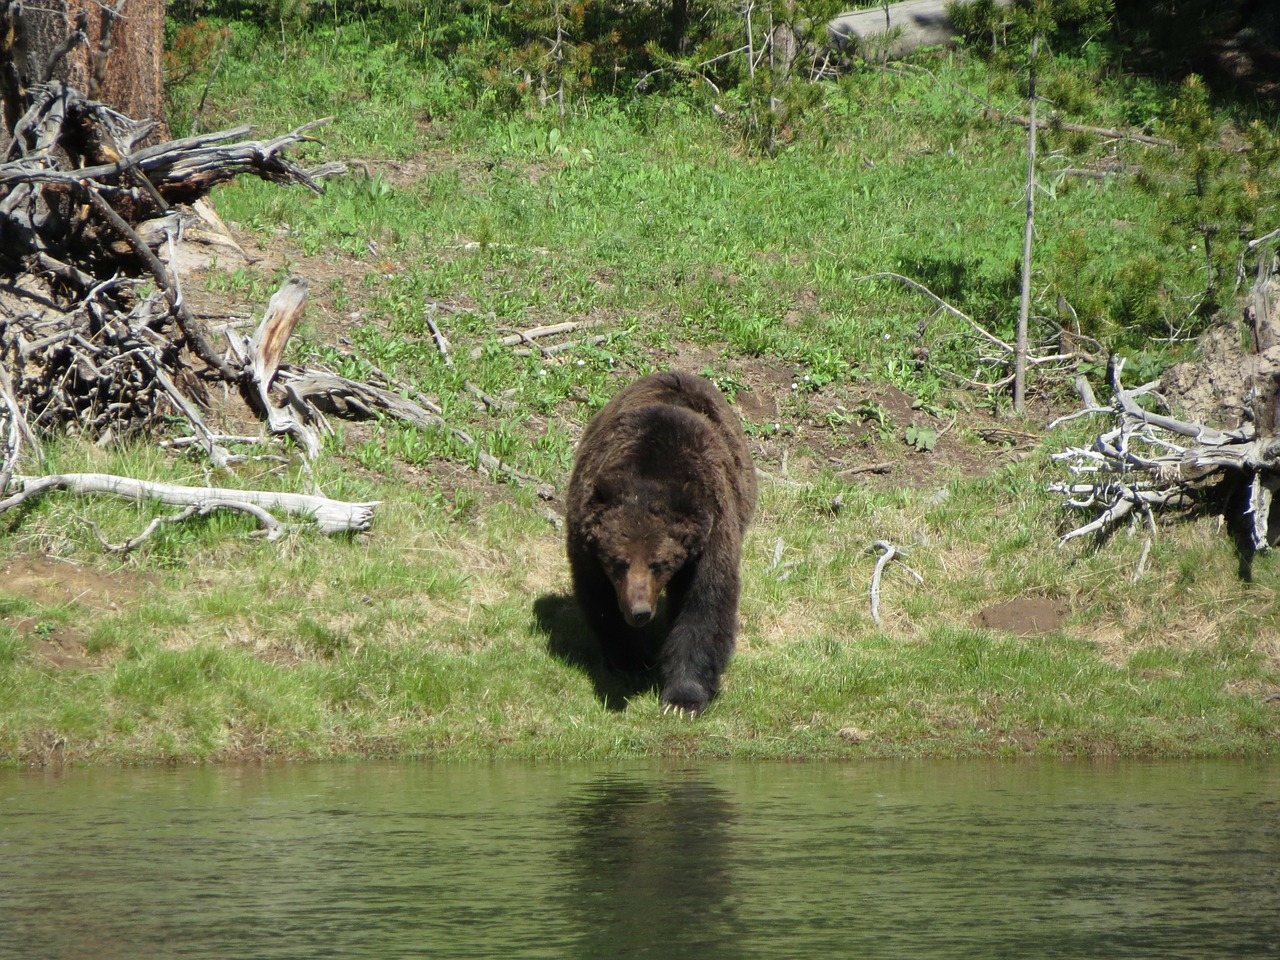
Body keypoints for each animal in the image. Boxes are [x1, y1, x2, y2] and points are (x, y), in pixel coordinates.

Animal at [565, 371, 752, 716]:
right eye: (618, 561)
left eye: (659, 563)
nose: (639, 611)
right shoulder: (587, 544)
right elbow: (601, 602)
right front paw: (630, 659)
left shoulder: (710, 536)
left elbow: (703, 606)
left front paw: (683, 699)